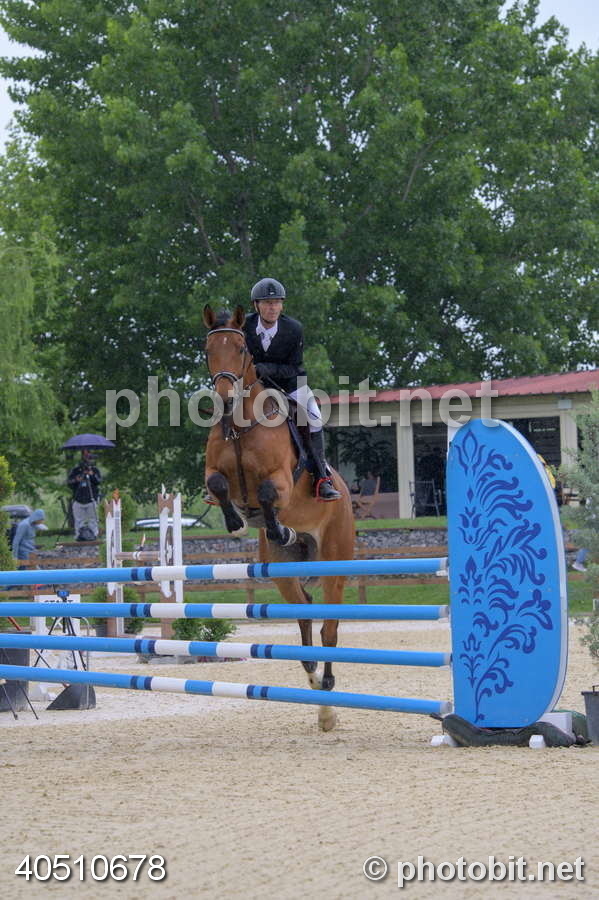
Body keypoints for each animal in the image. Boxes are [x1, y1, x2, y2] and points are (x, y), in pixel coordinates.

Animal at [203, 305, 355, 730]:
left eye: (240, 348)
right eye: (208, 349)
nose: (224, 398)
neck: (240, 426)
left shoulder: (283, 481)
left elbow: (270, 495)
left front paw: (274, 525)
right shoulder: (214, 476)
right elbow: (219, 485)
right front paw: (237, 524)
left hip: (335, 559)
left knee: (329, 627)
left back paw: (328, 692)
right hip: (284, 573)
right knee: (304, 616)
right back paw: (317, 690)